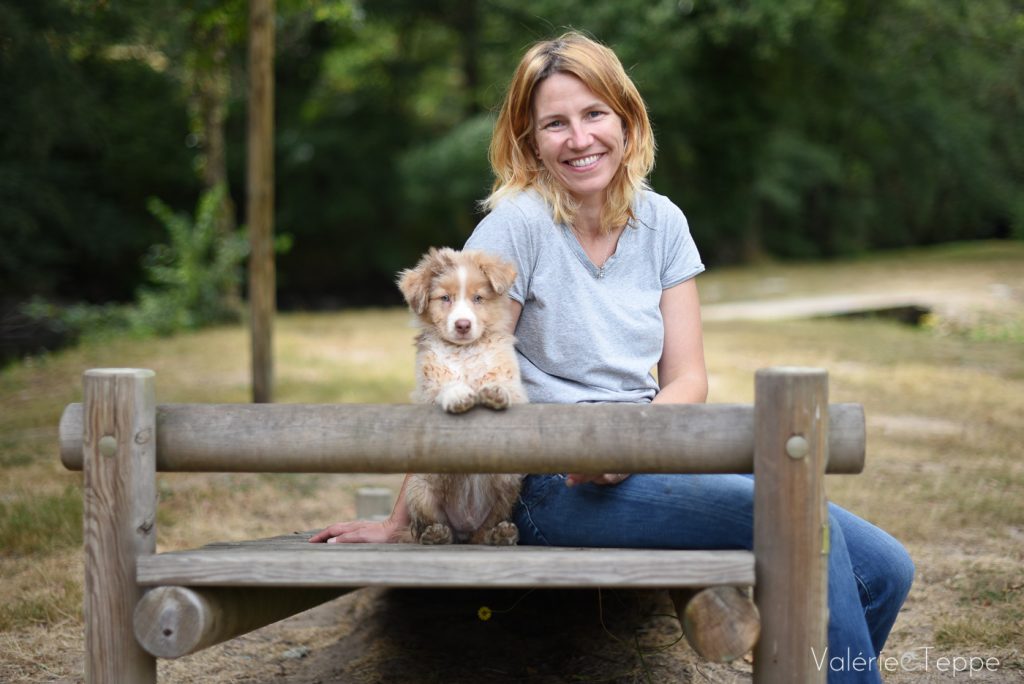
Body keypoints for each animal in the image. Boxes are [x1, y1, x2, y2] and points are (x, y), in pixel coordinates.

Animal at [396, 247, 527, 545]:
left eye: (478, 298)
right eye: (445, 298)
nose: (463, 325)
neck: (465, 351)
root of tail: (466, 524)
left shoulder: (515, 384)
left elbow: (505, 385)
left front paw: (495, 391)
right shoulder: (428, 383)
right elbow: (444, 384)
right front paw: (458, 394)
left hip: (507, 482)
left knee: (488, 526)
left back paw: (501, 533)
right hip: (421, 488)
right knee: (431, 525)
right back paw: (436, 534)